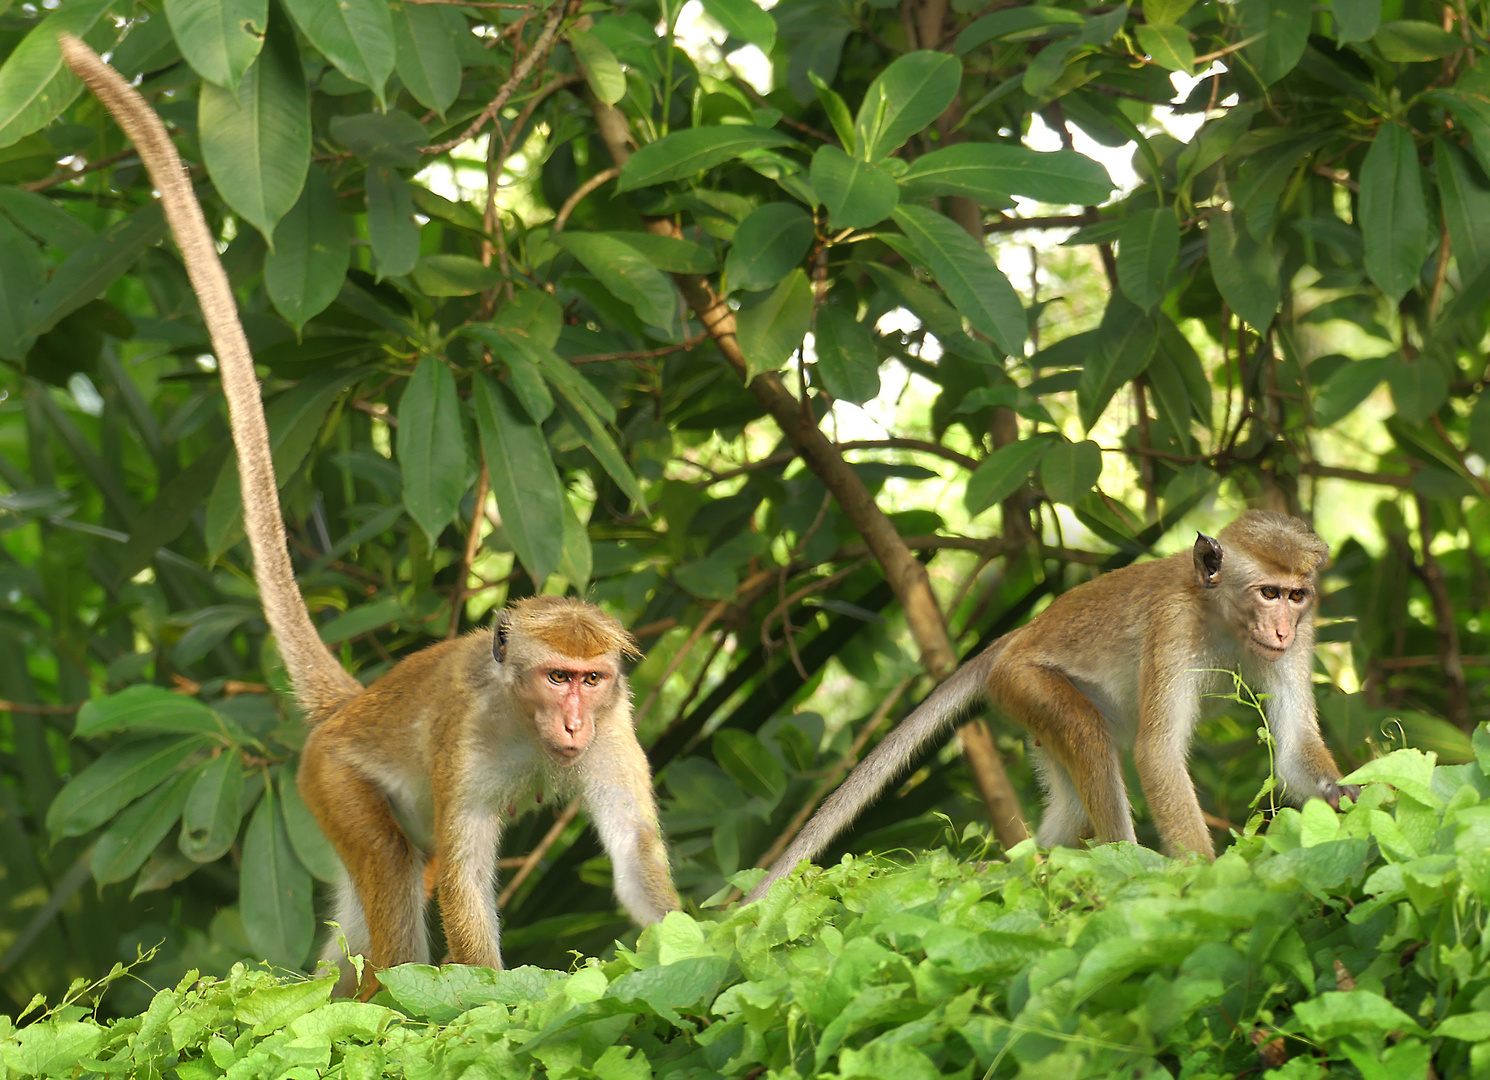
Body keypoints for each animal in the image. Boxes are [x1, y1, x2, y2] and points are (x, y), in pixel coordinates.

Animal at [61, 35, 682, 995]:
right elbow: (464, 877)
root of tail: (346, 706)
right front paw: (493, 997)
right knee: (392, 868)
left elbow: (634, 863)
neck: (524, 719)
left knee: (379, 893)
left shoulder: (619, 731)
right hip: (331, 780)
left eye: (590, 680)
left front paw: (716, 938)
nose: (575, 721)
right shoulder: (465, 738)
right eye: (556, 678)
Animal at [750, 509, 1358, 899]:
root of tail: (1016, 637)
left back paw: (1021, 865)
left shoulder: (1304, 638)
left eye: (1296, 595)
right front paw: (1205, 875)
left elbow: (1294, 749)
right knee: (1087, 733)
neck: (1222, 616)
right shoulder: (1174, 625)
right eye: (1268, 592)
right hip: (1027, 683)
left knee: (1070, 810)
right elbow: (1158, 754)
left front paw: (1343, 795)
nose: (1280, 629)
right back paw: (1120, 865)